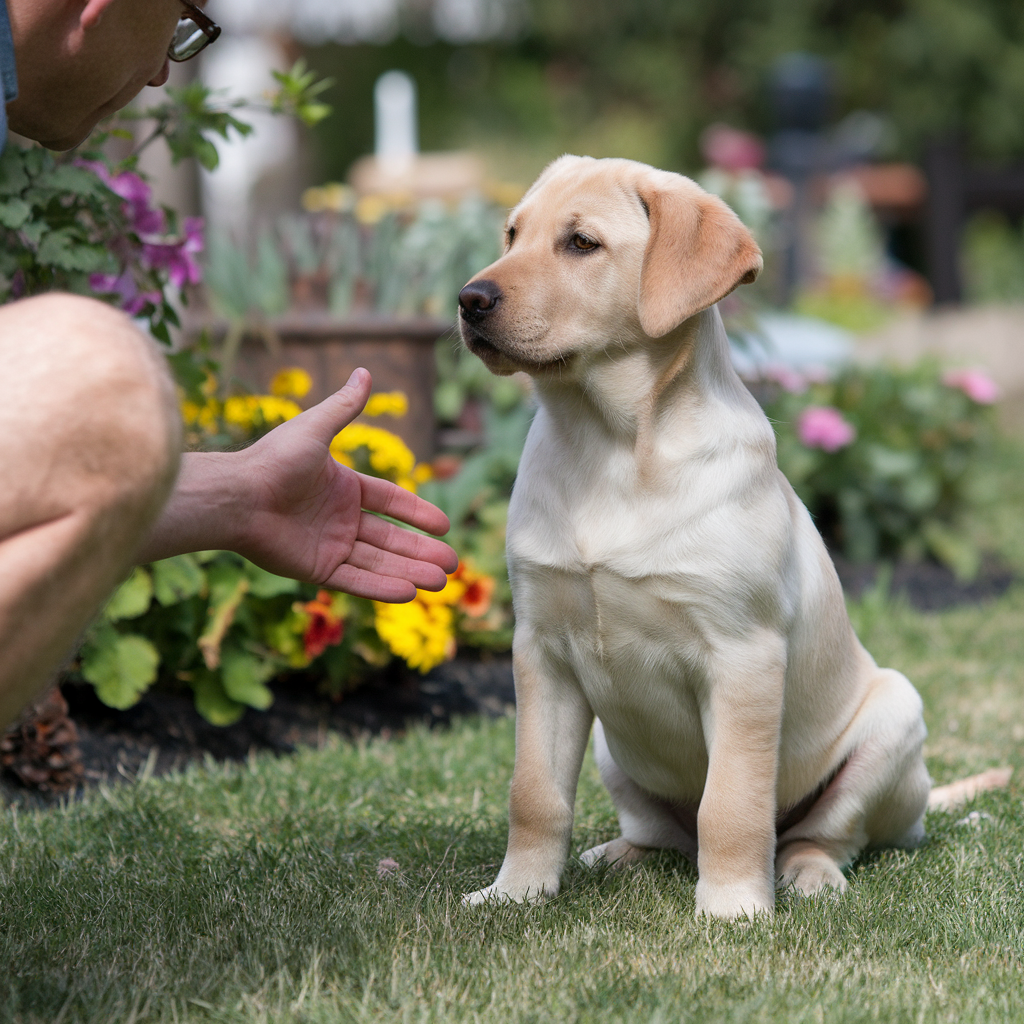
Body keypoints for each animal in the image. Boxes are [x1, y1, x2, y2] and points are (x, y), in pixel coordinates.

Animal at [458, 153, 937, 921]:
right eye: (512, 234)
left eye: (581, 243)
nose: (469, 299)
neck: (609, 447)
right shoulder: (541, 651)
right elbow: (534, 792)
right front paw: (517, 892)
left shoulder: (742, 657)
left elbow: (732, 804)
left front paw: (734, 908)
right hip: (613, 748)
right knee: (663, 831)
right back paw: (620, 856)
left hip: (893, 723)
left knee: (824, 833)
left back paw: (807, 874)